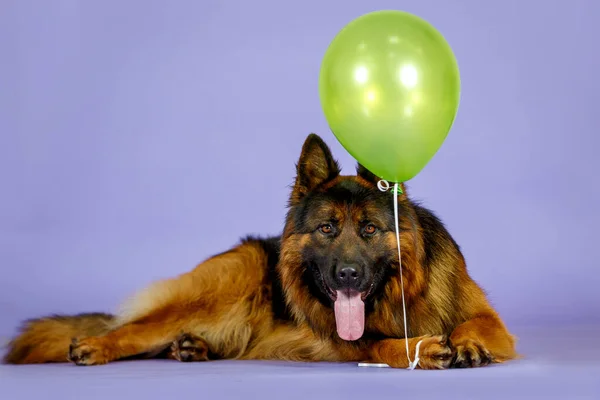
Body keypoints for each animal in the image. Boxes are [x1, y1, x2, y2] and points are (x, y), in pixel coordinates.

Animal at [2, 134, 516, 368]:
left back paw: (193, 347)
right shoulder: (346, 342)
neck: (396, 294)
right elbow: (382, 344)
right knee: (131, 329)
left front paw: (466, 343)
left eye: (370, 229)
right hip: (222, 288)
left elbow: (474, 324)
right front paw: (420, 348)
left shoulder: (492, 320)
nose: (348, 275)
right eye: (327, 228)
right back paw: (95, 345)